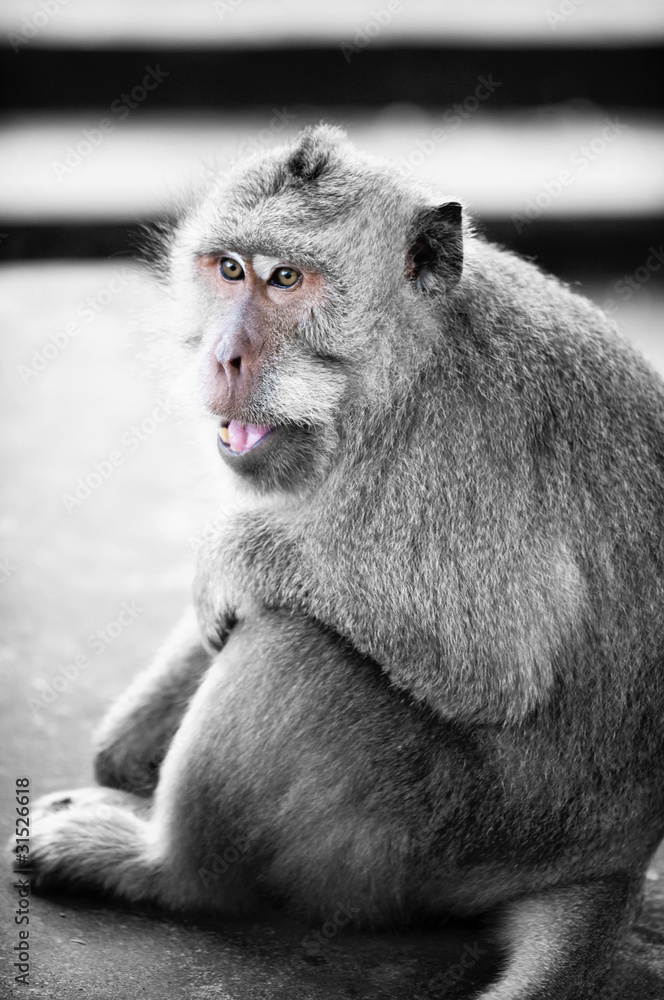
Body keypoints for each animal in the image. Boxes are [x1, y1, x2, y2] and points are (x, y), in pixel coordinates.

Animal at [17, 124, 664, 999]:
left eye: (287, 279)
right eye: (230, 270)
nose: (224, 357)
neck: (401, 369)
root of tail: (612, 861)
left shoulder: (458, 455)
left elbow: (491, 661)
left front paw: (235, 555)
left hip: (431, 841)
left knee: (294, 648)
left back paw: (166, 871)